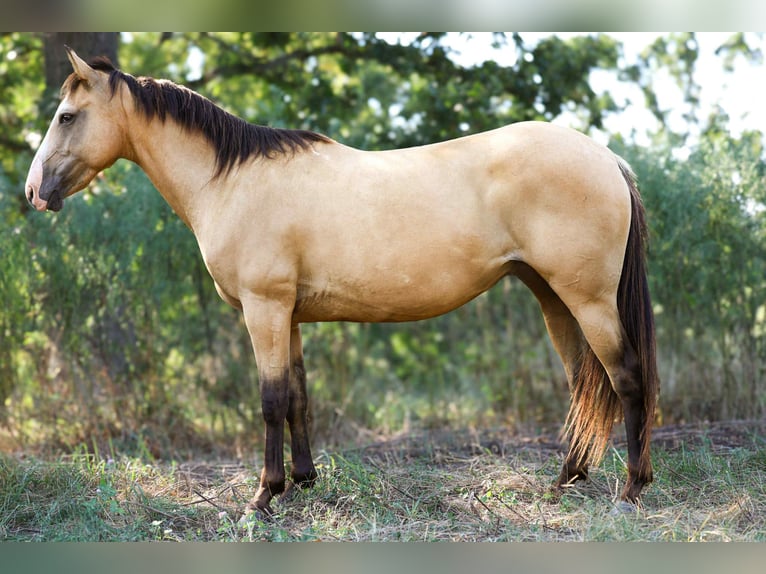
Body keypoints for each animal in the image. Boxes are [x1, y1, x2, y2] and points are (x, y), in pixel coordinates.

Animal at [25, 48, 659, 515]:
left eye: (66, 117)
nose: (34, 192)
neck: (231, 180)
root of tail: (606, 158)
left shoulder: (264, 309)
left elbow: (270, 400)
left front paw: (263, 497)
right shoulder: (288, 315)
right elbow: (298, 397)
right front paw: (302, 482)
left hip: (588, 299)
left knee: (626, 379)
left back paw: (632, 487)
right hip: (553, 297)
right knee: (584, 382)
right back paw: (566, 481)